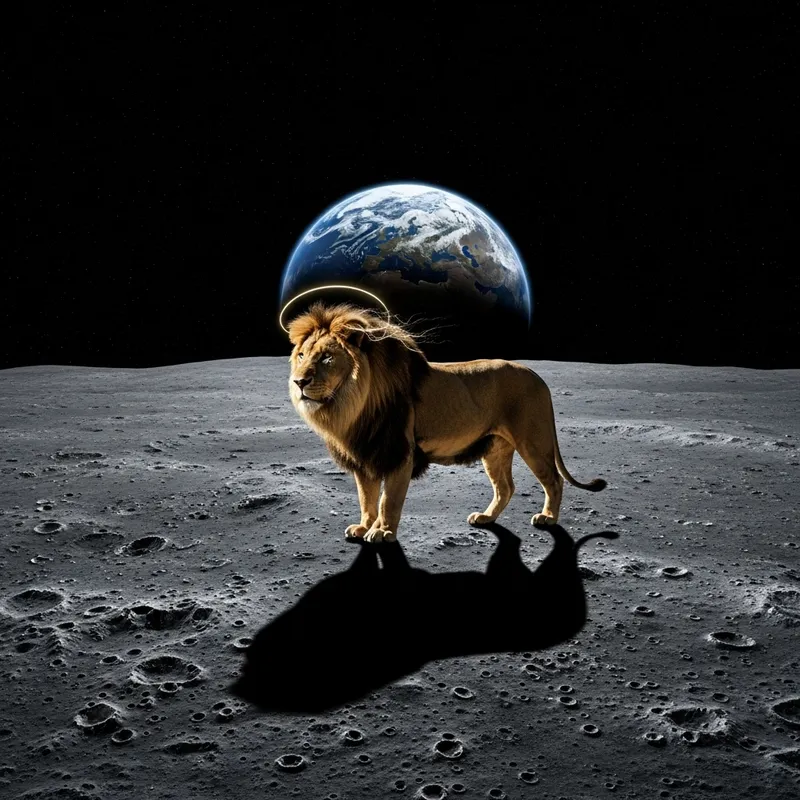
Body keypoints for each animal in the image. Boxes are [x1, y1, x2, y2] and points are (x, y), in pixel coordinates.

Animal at [287, 301, 606, 542]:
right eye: (301, 355)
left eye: (327, 358)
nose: (299, 381)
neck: (353, 405)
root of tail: (538, 376)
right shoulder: (367, 455)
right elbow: (367, 499)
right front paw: (364, 526)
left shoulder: (399, 454)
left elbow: (388, 500)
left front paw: (382, 532)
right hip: (495, 448)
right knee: (506, 487)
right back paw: (486, 517)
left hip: (533, 441)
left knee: (553, 480)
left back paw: (548, 518)